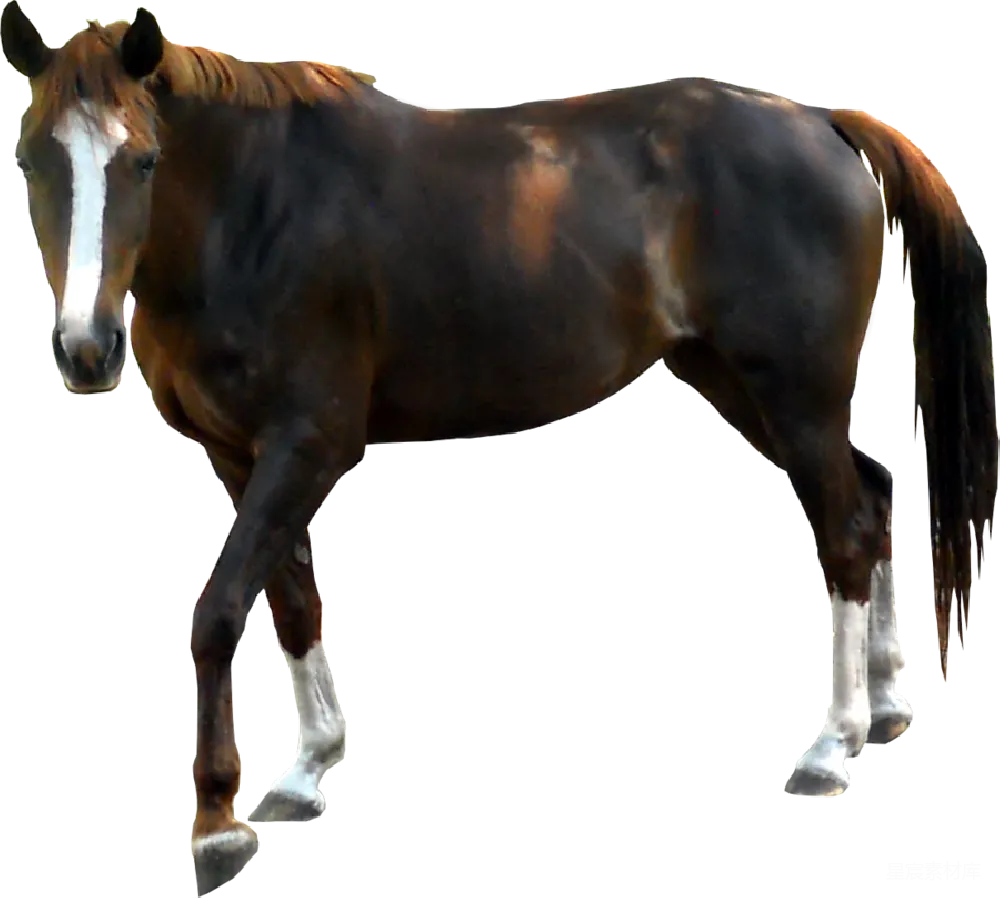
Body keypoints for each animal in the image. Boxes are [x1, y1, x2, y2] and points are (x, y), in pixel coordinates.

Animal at [4, 0, 994, 867]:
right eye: (31, 159)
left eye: (142, 160)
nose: (86, 348)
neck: (255, 207)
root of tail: (822, 122)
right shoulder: (236, 454)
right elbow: (292, 603)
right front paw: (305, 774)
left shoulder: (308, 444)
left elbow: (218, 612)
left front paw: (217, 825)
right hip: (741, 384)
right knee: (874, 495)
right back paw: (886, 709)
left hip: (796, 397)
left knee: (845, 534)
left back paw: (831, 747)